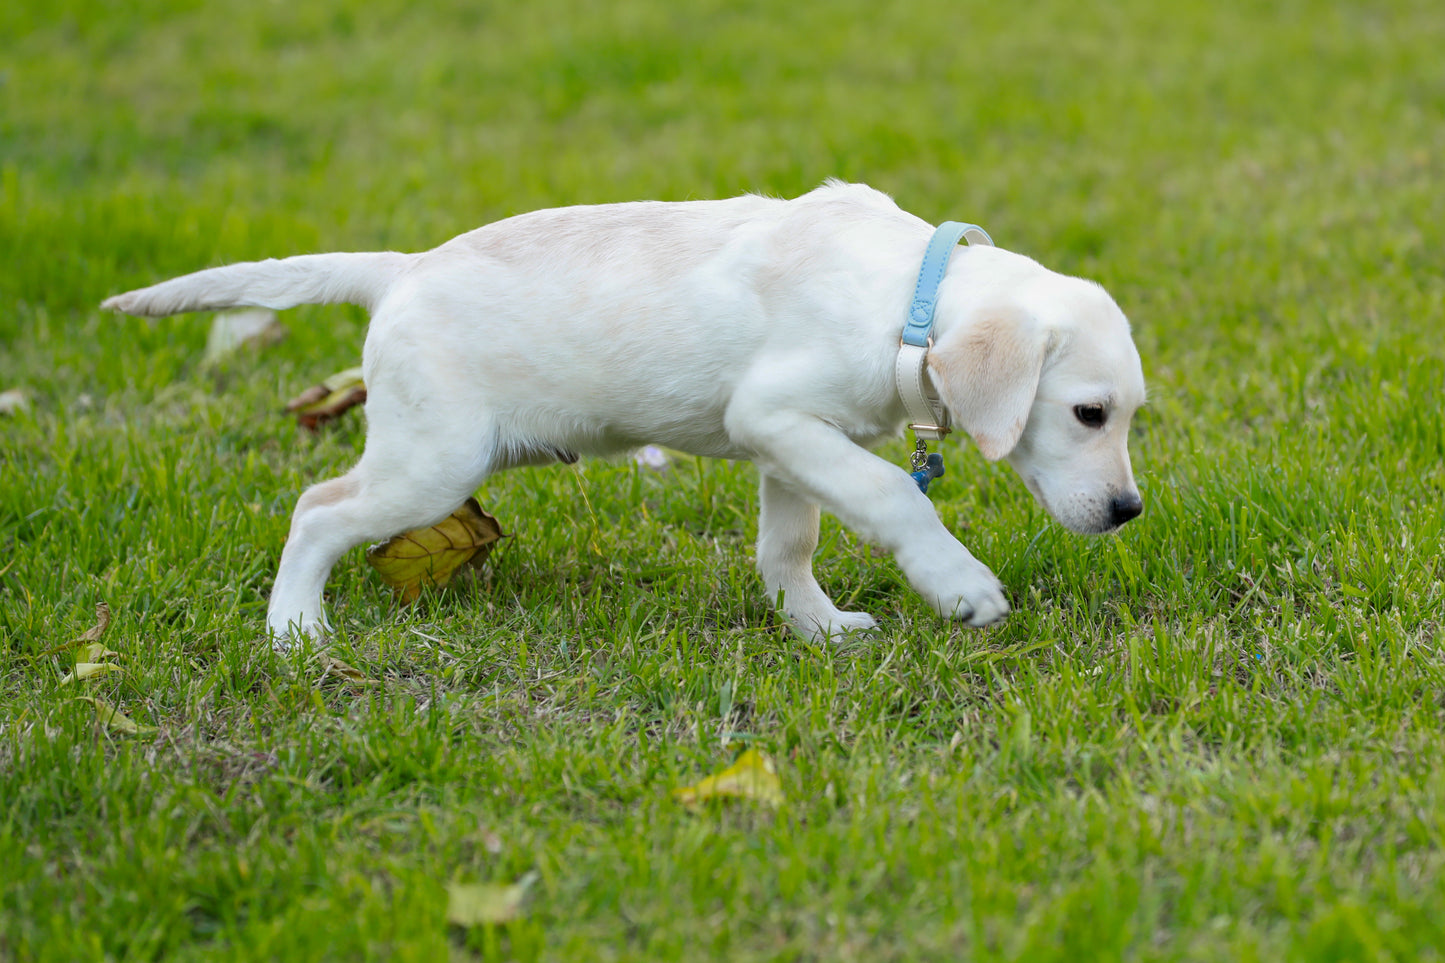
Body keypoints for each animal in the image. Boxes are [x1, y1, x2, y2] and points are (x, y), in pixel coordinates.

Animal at [101, 182, 1144, 644]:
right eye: (1089, 414)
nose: (1129, 511)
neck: (908, 301)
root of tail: (401, 271)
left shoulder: (794, 445)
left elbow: (789, 545)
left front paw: (814, 625)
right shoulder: (777, 416)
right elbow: (893, 494)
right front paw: (959, 584)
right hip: (432, 462)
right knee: (316, 509)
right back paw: (294, 628)